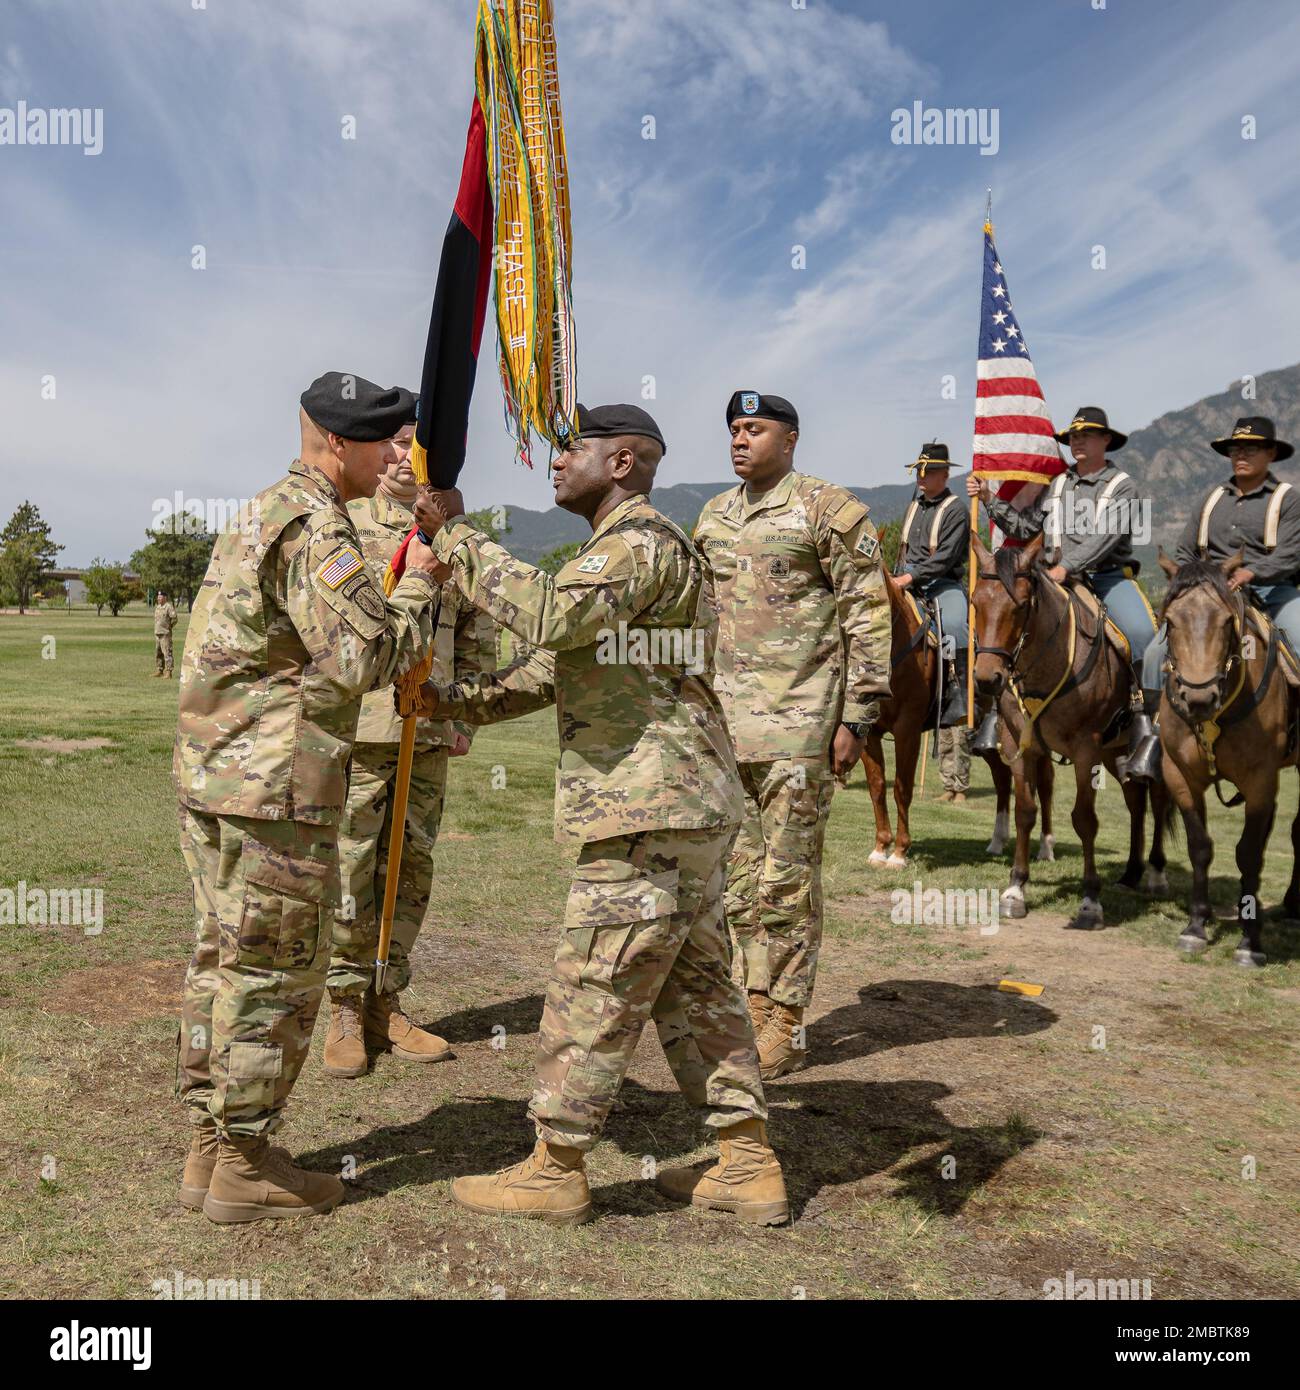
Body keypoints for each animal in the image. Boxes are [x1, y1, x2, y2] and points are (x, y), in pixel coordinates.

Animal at [862, 564, 1056, 867]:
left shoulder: (908, 730)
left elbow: (902, 788)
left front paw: (899, 853)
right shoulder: (868, 731)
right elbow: (877, 786)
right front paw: (880, 847)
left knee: (1045, 781)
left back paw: (1046, 847)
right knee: (1003, 777)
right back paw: (997, 841)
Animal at [967, 533, 1167, 934]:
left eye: (1021, 605)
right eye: (976, 601)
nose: (986, 678)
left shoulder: (1086, 749)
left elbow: (1084, 820)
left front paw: (1090, 901)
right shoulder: (1020, 744)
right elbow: (1025, 811)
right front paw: (1015, 890)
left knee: (1157, 800)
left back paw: (1154, 873)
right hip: (1116, 752)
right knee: (1136, 801)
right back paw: (1131, 873)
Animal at [1151, 544, 1295, 967]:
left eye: (1226, 620)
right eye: (1171, 621)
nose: (1199, 698)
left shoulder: (1261, 780)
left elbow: (1247, 854)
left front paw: (1250, 942)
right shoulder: (1181, 776)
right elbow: (1200, 847)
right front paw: (1196, 926)